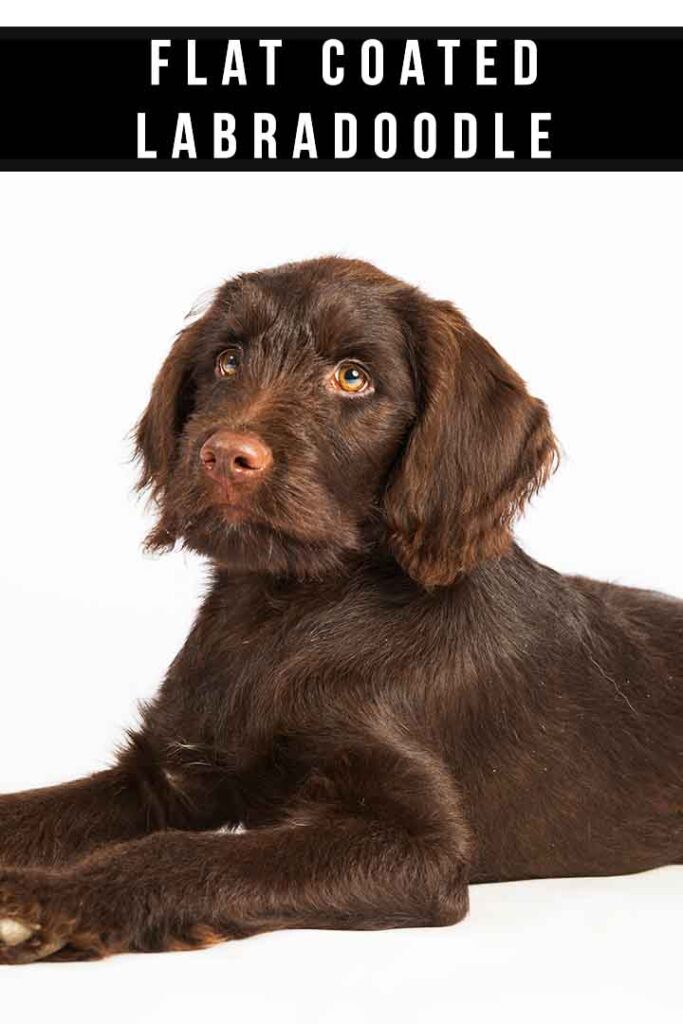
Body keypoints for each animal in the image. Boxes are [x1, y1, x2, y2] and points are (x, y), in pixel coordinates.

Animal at [1, 256, 683, 958]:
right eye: (227, 361)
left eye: (352, 377)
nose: (223, 456)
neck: (285, 613)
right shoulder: (165, 774)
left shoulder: (420, 847)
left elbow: (193, 854)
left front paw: (56, 901)